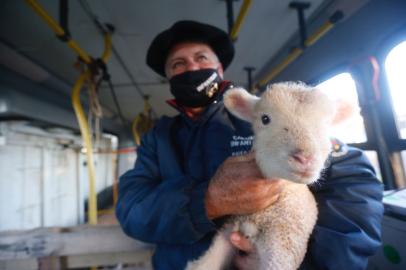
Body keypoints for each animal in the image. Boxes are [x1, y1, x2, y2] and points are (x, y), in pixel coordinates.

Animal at [186, 81, 340, 270]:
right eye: (265, 119)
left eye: (328, 124)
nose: (305, 158)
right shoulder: (228, 231)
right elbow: (203, 264)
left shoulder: (284, 243)